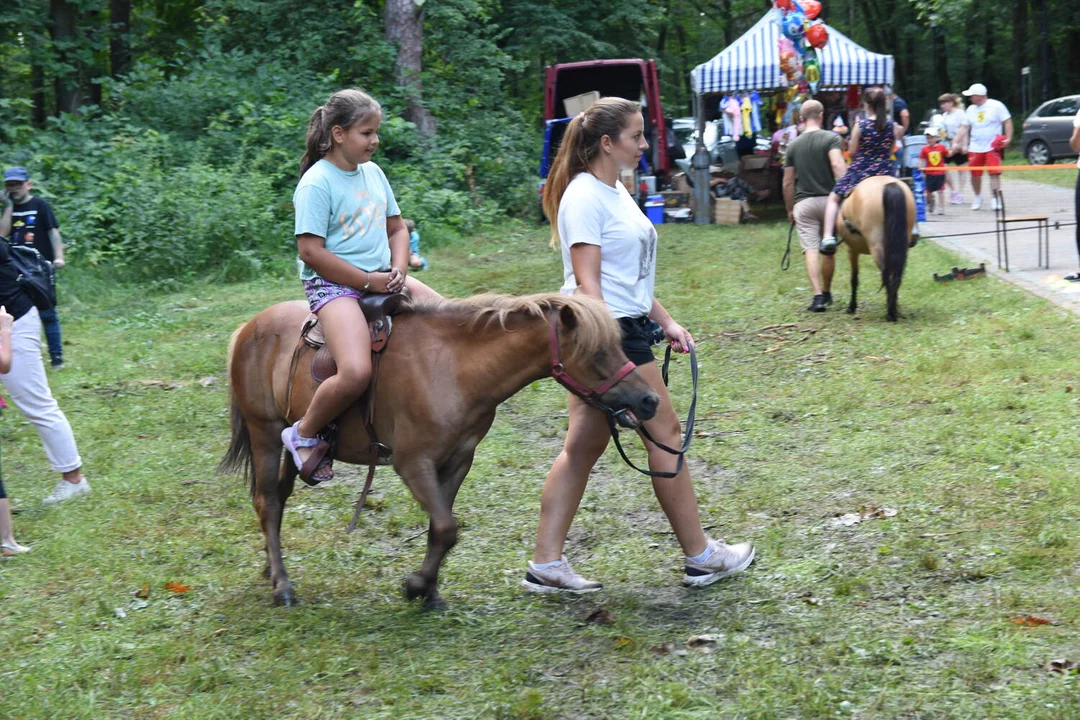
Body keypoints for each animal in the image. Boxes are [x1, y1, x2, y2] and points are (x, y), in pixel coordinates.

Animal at [218, 293, 656, 608]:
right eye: (597, 354)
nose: (649, 400)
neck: (455, 368)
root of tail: (247, 329)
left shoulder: (458, 460)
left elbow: (440, 528)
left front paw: (428, 590)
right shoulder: (413, 463)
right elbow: (447, 527)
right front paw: (416, 586)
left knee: (278, 497)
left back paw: (270, 568)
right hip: (265, 432)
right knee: (268, 501)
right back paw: (282, 586)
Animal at [833, 174, 920, 321]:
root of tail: (889, 185)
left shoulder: (851, 250)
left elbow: (854, 279)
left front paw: (852, 306)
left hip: (877, 246)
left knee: (887, 274)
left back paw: (890, 313)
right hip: (901, 246)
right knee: (896, 275)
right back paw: (894, 309)